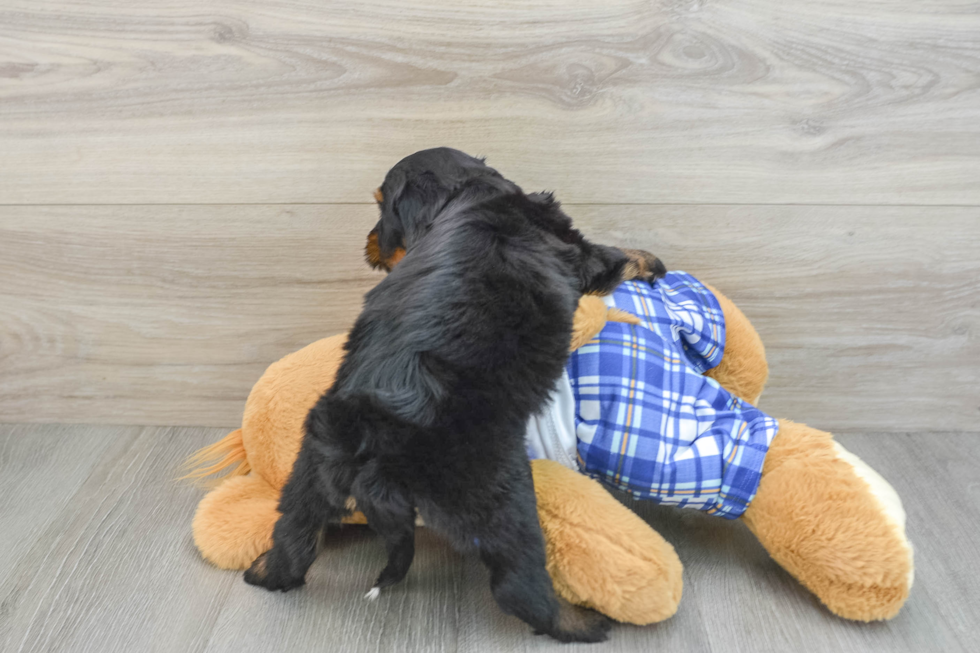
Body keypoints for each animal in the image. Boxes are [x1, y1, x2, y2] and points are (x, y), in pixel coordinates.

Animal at [243, 149, 660, 640]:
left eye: (382, 209)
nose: (369, 240)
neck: (471, 192)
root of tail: (374, 441)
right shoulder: (583, 255)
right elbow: (618, 256)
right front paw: (652, 261)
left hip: (311, 464)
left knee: (296, 531)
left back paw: (265, 570)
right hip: (499, 494)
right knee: (519, 587)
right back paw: (580, 623)